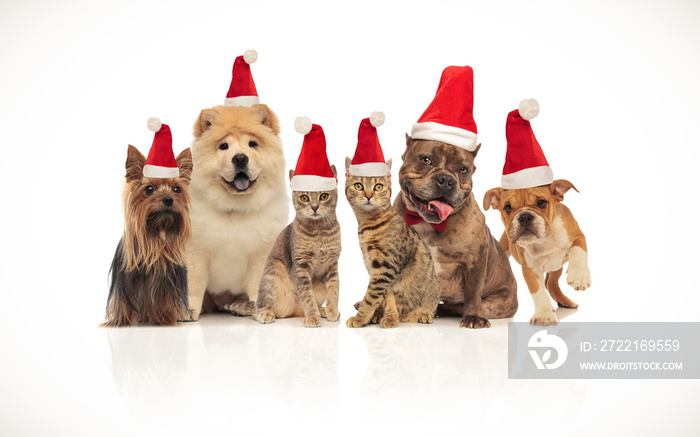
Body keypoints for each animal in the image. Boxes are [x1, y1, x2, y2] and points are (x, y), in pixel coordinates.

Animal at [252, 167, 342, 328]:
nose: (314, 207)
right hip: (272, 273)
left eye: (324, 196)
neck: (319, 232)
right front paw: (312, 316)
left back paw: (323, 310)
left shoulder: (332, 264)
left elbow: (334, 289)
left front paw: (332, 310)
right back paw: (266, 314)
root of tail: (291, 312)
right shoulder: (300, 265)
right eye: (304, 198)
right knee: (260, 307)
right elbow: (307, 295)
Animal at [344, 158, 438, 328]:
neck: (369, 224)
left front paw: (360, 318)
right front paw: (389, 316)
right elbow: (385, 298)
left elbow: (371, 298)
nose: (368, 195)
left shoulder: (385, 268)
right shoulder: (378, 270)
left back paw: (422, 314)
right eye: (358, 186)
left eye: (378, 187)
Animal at [482, 180, 592, 324]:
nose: (525, 216)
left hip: (557, 267)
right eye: (508, 207)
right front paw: (544, 314)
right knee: (548, 284)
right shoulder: (530, 269)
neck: (544, 240)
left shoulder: (578, 236)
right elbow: (538, 292)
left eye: (541, 202)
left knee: (551, 283)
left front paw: (579, 276)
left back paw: (565, 301)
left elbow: (578, 251)